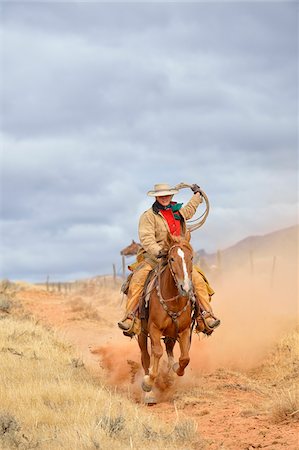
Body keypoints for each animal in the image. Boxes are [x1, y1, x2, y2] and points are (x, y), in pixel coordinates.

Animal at [138, 232, 197, 404]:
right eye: (171, 259)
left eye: (191, 257)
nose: (186, 288)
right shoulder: (154, 328)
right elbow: (157, 352)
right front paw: (148, 382)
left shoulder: (184, 330)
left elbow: (185, 358)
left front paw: (176, 369)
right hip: (141, 333)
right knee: (146, 356)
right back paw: (149, 394)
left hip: (171, 333)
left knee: (169, 349)